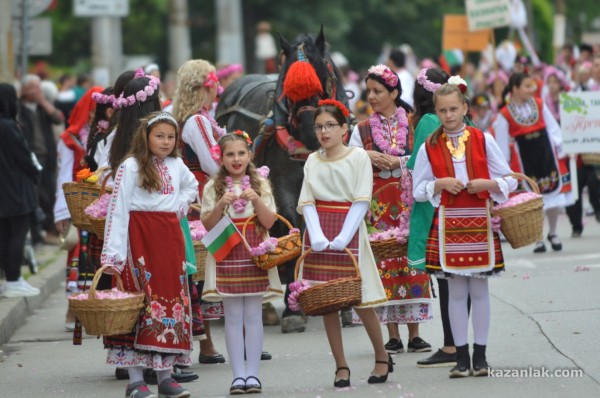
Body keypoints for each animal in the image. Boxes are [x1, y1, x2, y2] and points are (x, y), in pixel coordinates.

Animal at [216, 28, 346, 332]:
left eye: (321, 72)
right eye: (288, 83)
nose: (313, 131)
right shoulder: (284, 186)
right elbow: (292, 221)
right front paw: (291, 308)